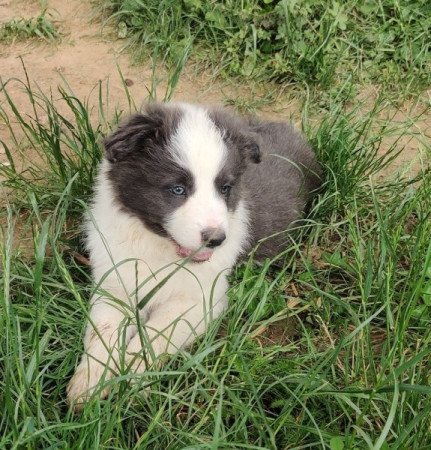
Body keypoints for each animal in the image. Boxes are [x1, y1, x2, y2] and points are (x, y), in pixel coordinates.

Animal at [67, 103, 322, 406]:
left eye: (225, 188)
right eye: (177, 189)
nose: (216, 239)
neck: (159, 249)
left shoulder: (202, 299)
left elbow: (157, 332)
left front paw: (132, 377)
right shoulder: (114, 282)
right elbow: (103, 331)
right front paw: (91, 381)